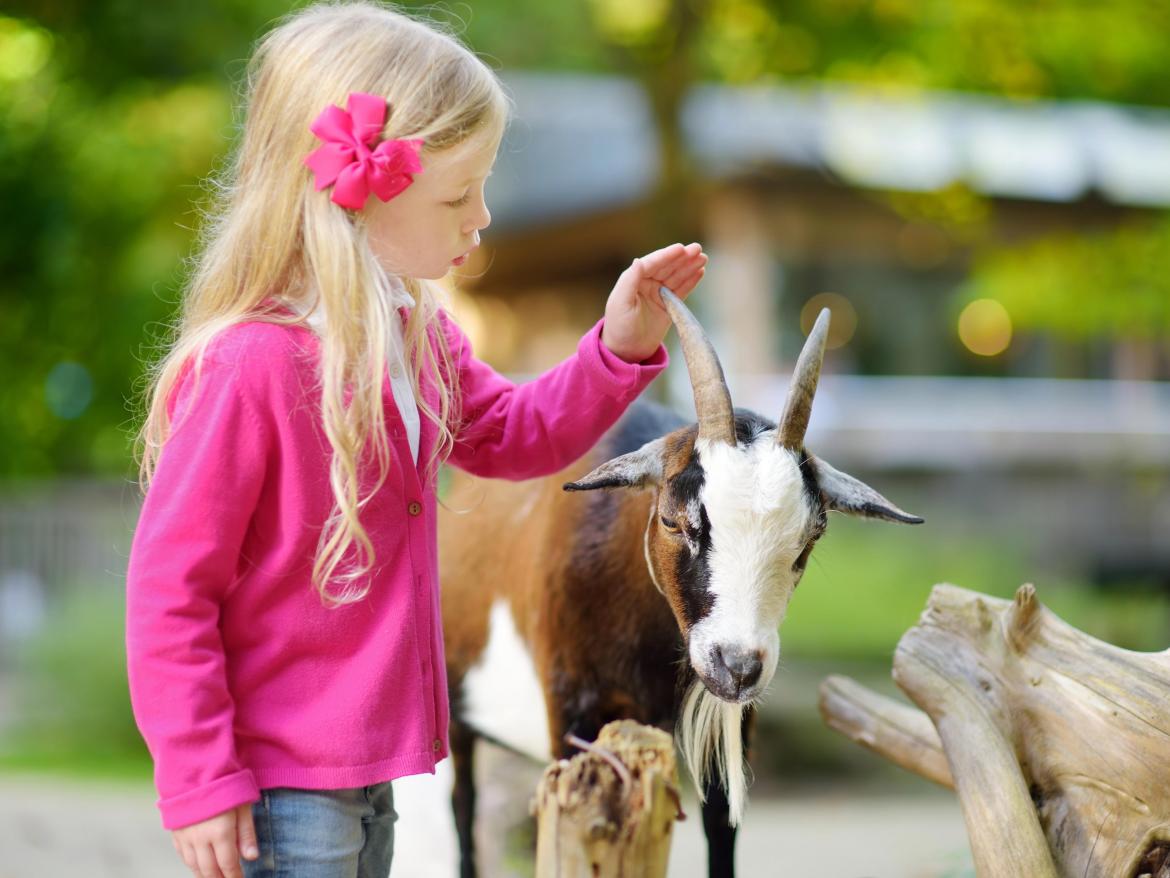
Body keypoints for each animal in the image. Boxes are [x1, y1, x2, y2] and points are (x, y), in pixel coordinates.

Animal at [438, 289, 922, 877]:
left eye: (812, 535)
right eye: (673, 519)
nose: (738, 666)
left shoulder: (731, 727)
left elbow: (721, 833)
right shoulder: (571, 713)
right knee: (462, 806)